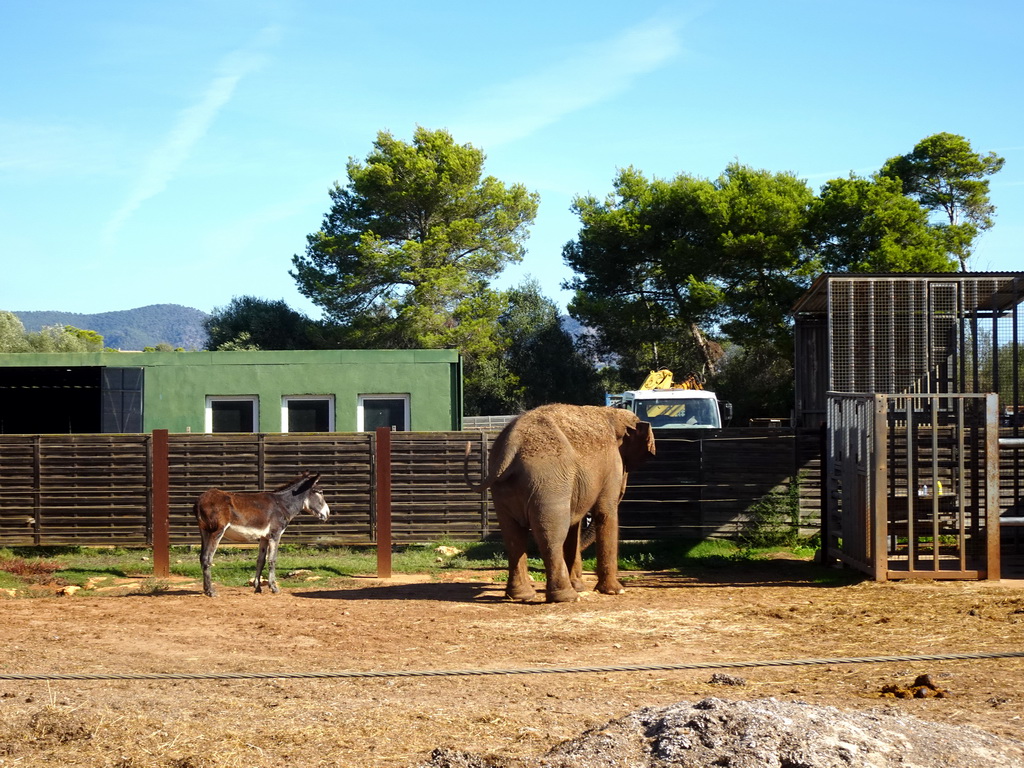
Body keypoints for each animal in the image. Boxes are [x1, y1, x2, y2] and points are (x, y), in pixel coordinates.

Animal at [466, 405, 651, 606]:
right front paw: (615, 591)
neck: (613, 413)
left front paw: (581, 586)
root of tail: (512, 442)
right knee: (552, 536)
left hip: (504, 487)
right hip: (548, 483)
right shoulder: (611, 466)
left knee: (513, 536)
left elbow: (575, 524)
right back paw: (567, 597)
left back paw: (522, 596)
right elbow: (605, 512)